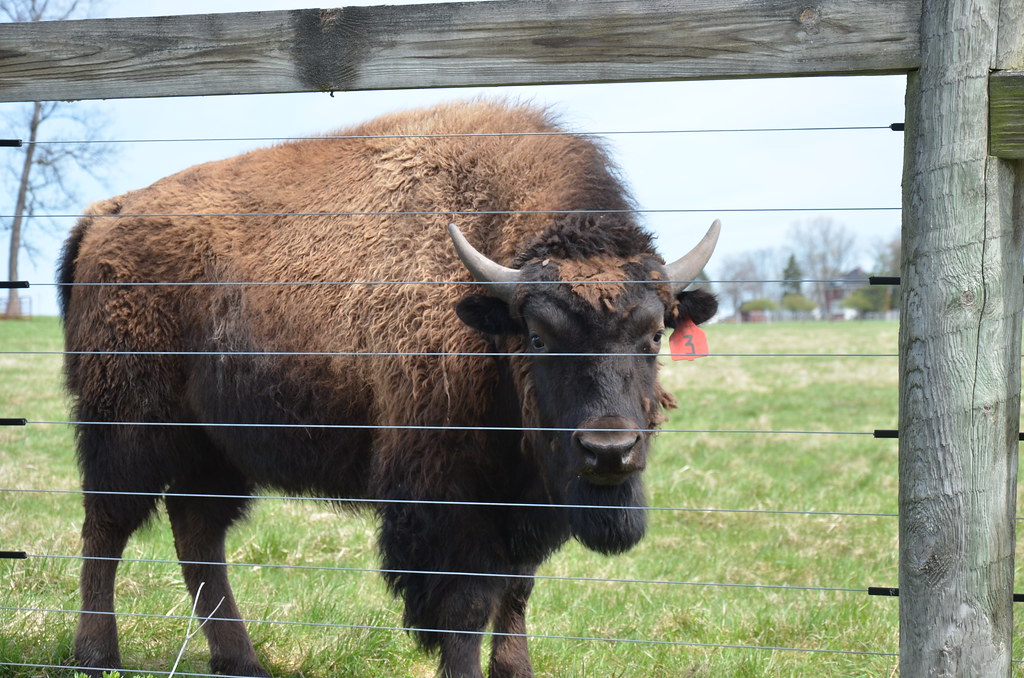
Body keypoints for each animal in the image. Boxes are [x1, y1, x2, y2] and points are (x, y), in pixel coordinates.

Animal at [59, 99, 719, 678]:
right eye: (536, 335)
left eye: (656, 332)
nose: (609, 451)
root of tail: (102, 216)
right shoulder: (447, 498)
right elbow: (467, 606)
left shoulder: (527, 500)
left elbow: (516, 594)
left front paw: (516, 670)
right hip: (128, 427)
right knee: (107, 527)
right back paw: (96, 656)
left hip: (217, 448)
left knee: (198, 536)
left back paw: (241, 661)